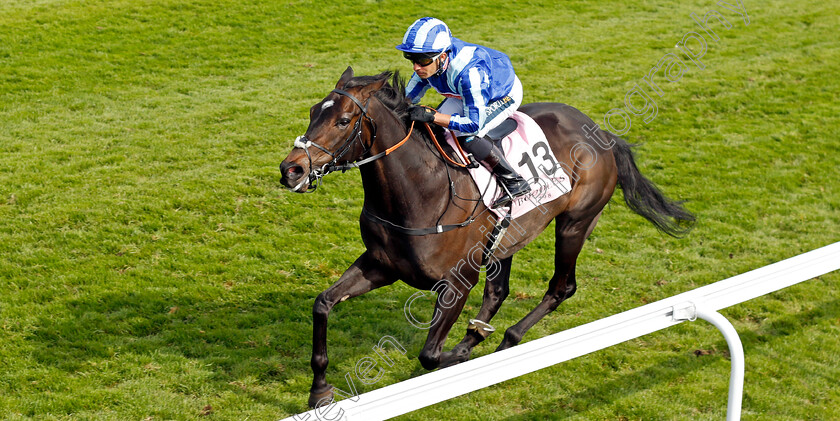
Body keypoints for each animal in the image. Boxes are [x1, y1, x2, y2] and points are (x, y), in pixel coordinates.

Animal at [278, 66, 692, 406]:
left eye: (344, 120)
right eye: (313, 111)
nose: (291, 169)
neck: (420, 189)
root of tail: (602, 130)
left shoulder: (458, 281)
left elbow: (429, 355)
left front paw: (458, 355)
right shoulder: (381, 265)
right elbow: (323, 303)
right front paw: (320, 389)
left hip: (575, 223)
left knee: (562, 287)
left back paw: (503, 338)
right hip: (506, 237)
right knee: (499, 291)